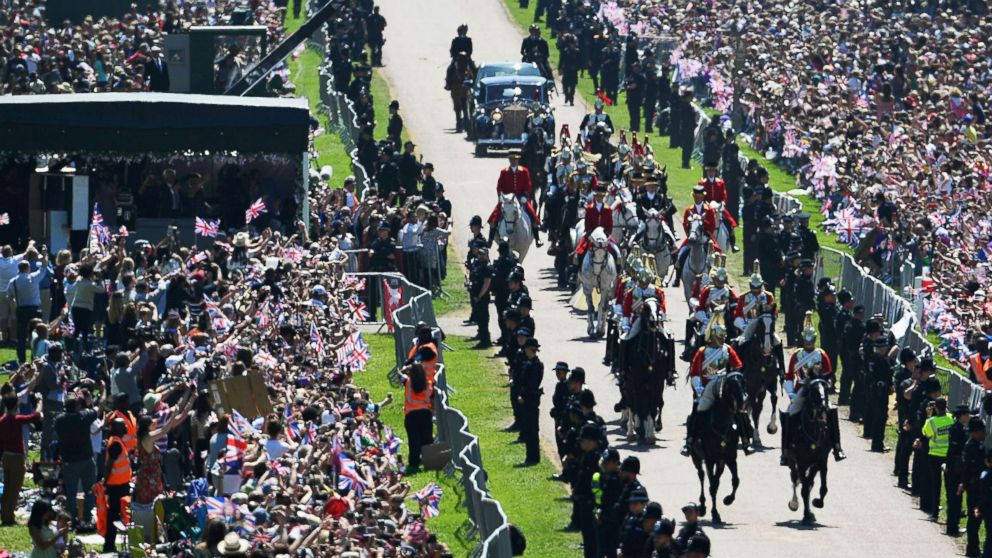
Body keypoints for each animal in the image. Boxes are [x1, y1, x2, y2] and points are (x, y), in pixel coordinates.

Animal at [620, 300, 676, 448]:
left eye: (658, 307)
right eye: (645, 307)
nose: (653, 322)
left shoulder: (657, 383)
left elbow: (653, 406)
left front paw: (650, 435)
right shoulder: (637, 382)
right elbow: (638, 405)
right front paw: (640, 429)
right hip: (629, 382)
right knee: (631, 404)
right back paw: (631, 433)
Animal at [692, 372, 748, 524]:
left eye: (743, 382)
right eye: (731, 384)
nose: (742, 402)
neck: (721, 424)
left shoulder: (730, 458)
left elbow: (736, 480)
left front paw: (728, 500)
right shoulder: (710, 460)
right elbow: (711, 486)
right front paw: (715, 513)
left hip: (721, 462)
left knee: (716, 480)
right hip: (696, 458)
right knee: (702, 476)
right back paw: (702, 506)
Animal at [740, 316, 788, 450]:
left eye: (773, 325)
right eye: (760, 325)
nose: (767, 348)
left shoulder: (770, 384)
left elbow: (774, 398)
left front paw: (772, 427)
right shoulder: (751, 387)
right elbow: (755, 410)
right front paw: (755, 435)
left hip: (761, 391)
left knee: (758, 406)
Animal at [788, 378, 832, 528]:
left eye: (826, 388)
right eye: (814, 390)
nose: (823, 407)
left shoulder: (822, 461)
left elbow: (822, 488)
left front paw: (817, 503)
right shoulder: (801, 462)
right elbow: (804, 488)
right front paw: (805, 515)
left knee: (809, 482)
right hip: (793, 462)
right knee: (796, 480)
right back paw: (795, 503)